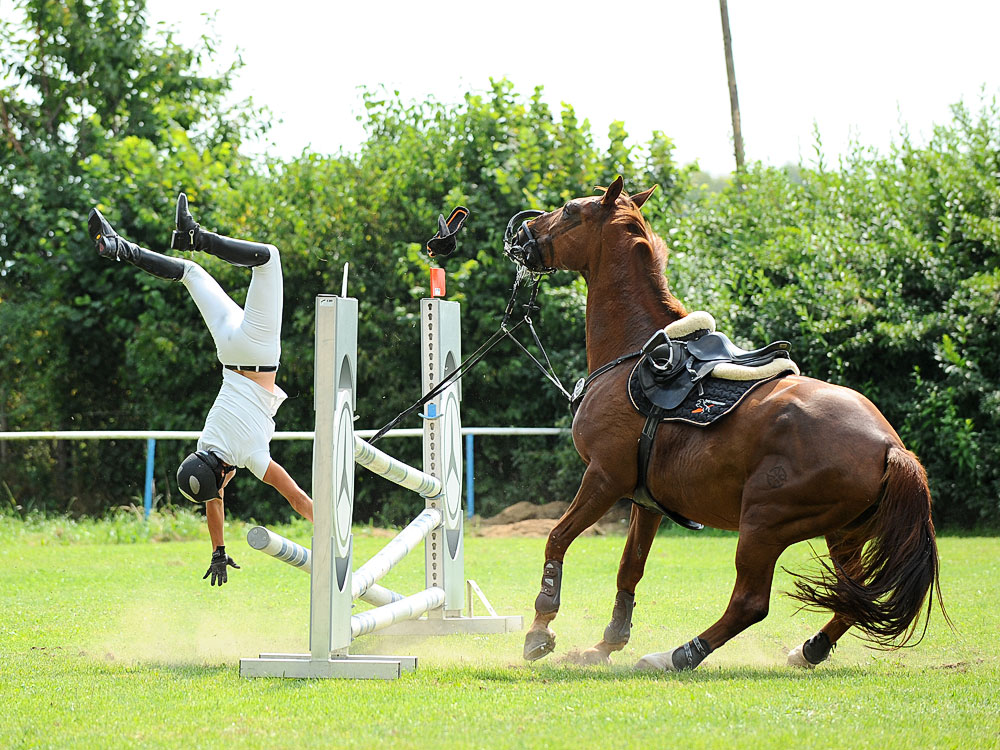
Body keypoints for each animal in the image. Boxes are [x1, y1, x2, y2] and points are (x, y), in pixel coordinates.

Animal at [516, 178, 944, 676]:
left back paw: (677, 655)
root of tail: (890, 447)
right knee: (851, 596)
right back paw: (810, 649)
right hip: (842, 532)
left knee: (751, 602)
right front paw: (604, 646)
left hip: (763, 524)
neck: (632, 354)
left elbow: (557, 539)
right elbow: (629, 570)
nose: (523, 233)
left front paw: (540, 631)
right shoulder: (646, 503)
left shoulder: (604, 478)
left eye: (569, 211)